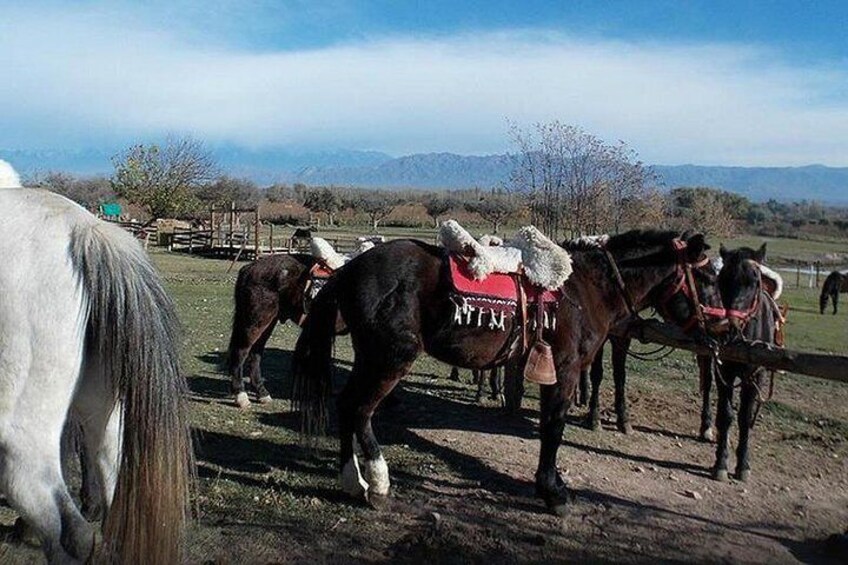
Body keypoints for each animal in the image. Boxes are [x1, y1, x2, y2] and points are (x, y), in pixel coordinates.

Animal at [292, 228, 716, 512]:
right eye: (709, 277)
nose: (717, 331)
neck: (585, 289)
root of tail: (349, 270)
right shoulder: (565, 371)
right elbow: (553, 428)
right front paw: (553, 493)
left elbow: (549, 427)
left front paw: (551, 486)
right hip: (390, 358)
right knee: (362, 410)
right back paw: (378, 486)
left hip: (369, 357)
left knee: (347, 406)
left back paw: (352, 480)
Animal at [712, 242, 780, 480]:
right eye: (722, 279)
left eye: (755, 281)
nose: (729, 327)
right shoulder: (723, 373)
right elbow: (726, 415)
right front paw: (720, 464)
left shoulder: (754, 376)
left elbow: (744, 417)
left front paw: (743, 465)